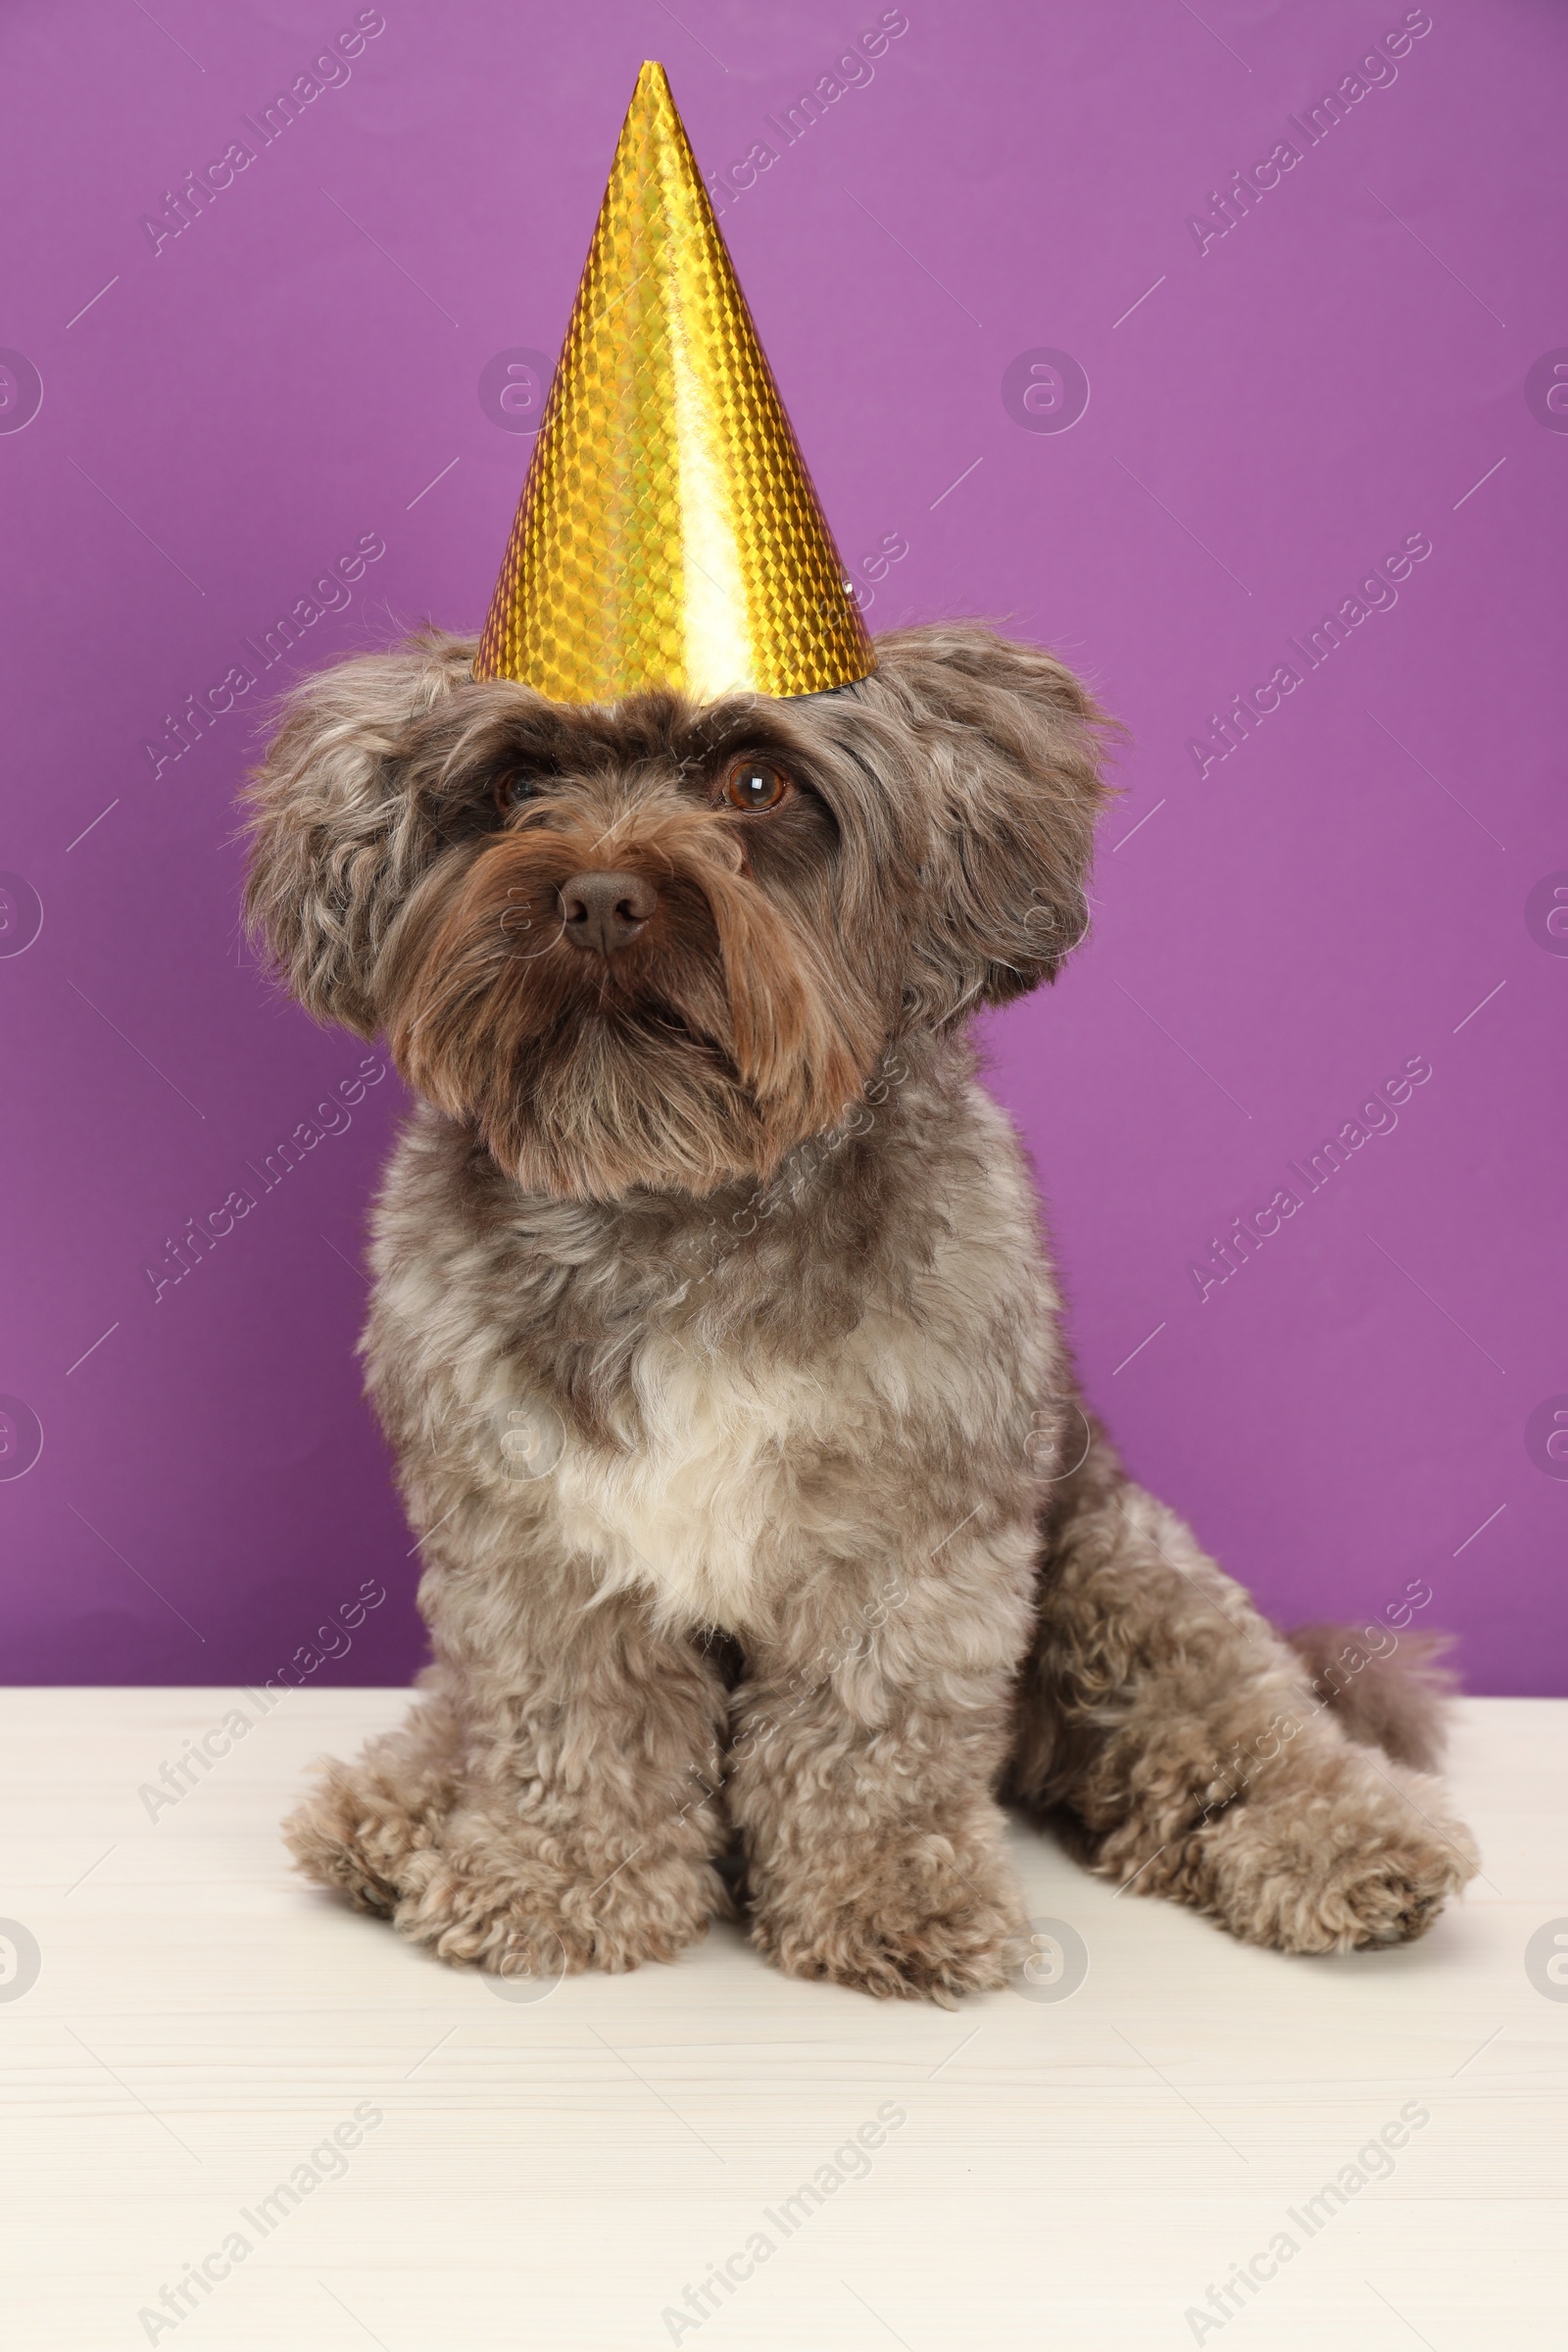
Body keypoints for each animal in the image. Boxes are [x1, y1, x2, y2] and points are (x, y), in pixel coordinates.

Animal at [248, 615, 1486, 1994]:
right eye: (519, 783)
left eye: (756, 780)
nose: (600, 898)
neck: (679, 1204)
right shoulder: (533, 1534)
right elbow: (567, 1716)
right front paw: (554, 1885)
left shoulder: (907, 1533)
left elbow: (872, 1733)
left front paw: (886, 1898)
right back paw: (397, 1805)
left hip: (1120, 1567)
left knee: (1227, 1710)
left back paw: (1349, 1839)